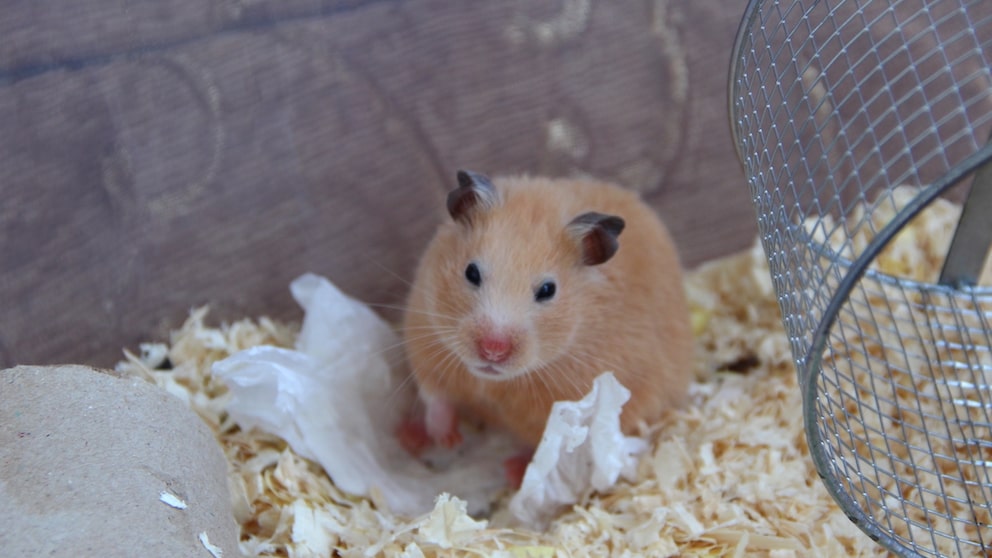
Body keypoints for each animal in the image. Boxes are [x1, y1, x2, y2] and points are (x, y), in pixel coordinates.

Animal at [400, 171, 692, 472]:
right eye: (471, 272)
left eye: (548, 290)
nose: (493, 350)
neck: (493, 382)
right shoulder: (423, 336)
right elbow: (436, 397)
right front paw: (446, 438)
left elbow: (544, 446)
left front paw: (518, 469)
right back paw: (410, 434)